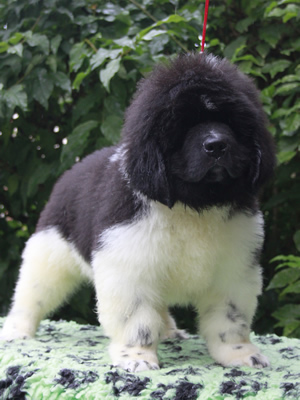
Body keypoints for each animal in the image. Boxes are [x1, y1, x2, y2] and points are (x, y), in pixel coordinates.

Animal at [1, 52, 276, 372]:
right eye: (183, 126)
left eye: (231, 122)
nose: (217, 145)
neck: (192, 206)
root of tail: (71, 171)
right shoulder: (129, 268)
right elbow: (137, 322)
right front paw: (137, 358)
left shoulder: (234, 270)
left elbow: (230, 320)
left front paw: (240, 354)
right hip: (49, 255)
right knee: (31, 295)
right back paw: (16, 330)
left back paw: (169, 330)